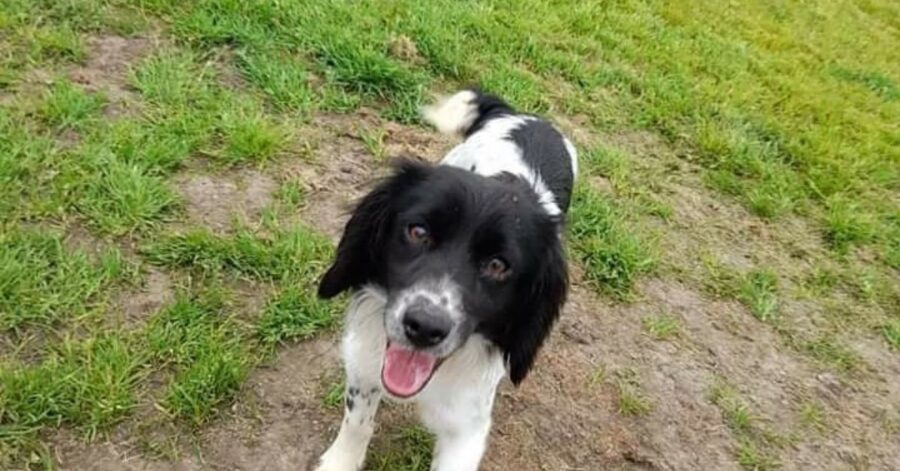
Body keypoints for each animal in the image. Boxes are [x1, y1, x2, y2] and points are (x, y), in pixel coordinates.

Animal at [314, 89, 576, 471]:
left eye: (498, 265)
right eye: (417, 231)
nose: (424, 327)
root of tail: (529, 117)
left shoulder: (467, 427)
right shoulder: (363, 361)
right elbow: (357, 422)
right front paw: (340, 462)